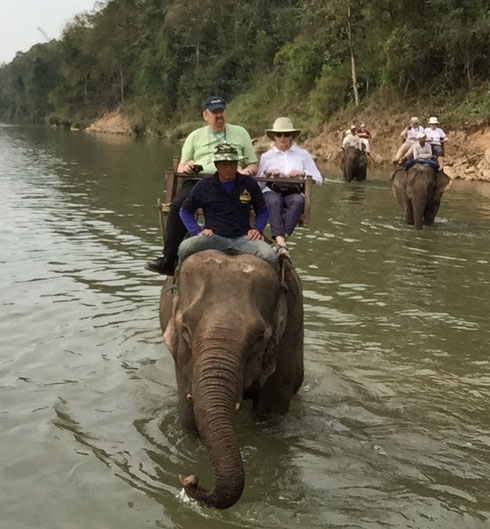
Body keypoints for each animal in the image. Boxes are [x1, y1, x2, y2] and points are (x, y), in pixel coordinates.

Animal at [161, 250, 302, 510]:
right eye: (185, 329)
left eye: (259, 337)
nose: (190, 479)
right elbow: (188, 415)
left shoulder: (288, 338)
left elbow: (270, 414)